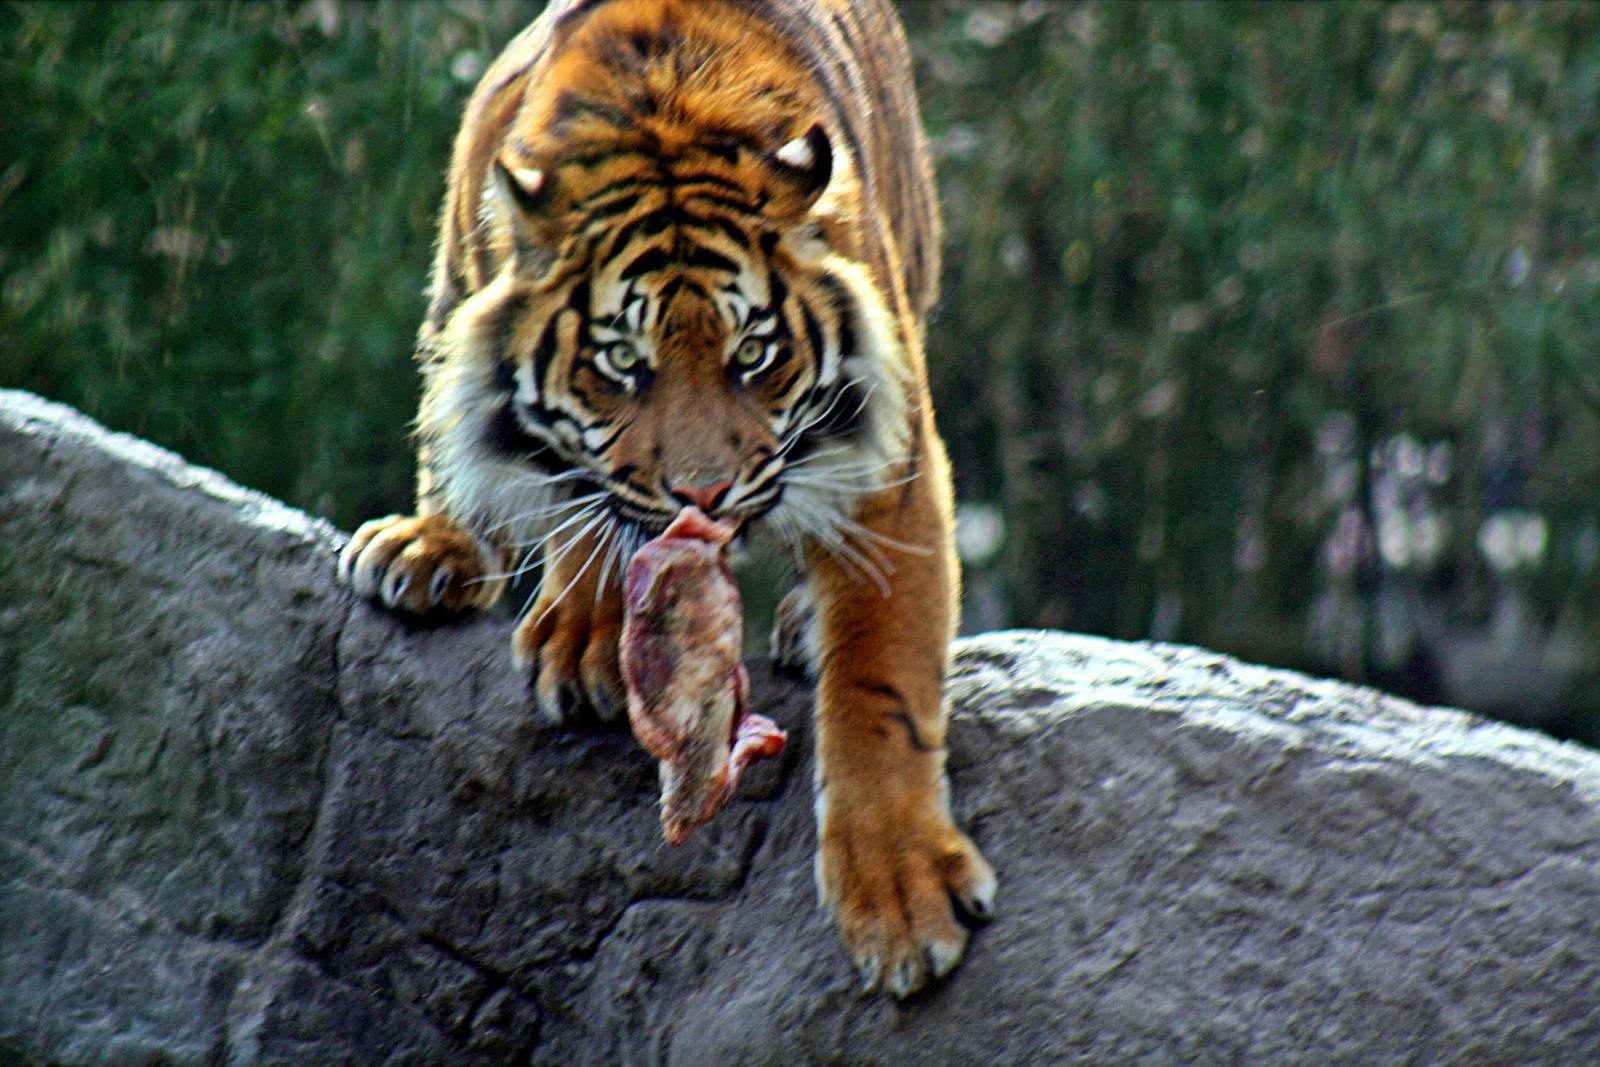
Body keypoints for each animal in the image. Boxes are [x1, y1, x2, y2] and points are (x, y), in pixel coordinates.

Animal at [338, 0, 996, 998]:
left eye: (754, 354)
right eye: (621, 361)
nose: (705, 491)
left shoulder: (892, 463)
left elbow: (880, 683)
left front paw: (902, 895)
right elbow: (582, 497)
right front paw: (585, 635)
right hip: (459, 257)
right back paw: (429, 549)